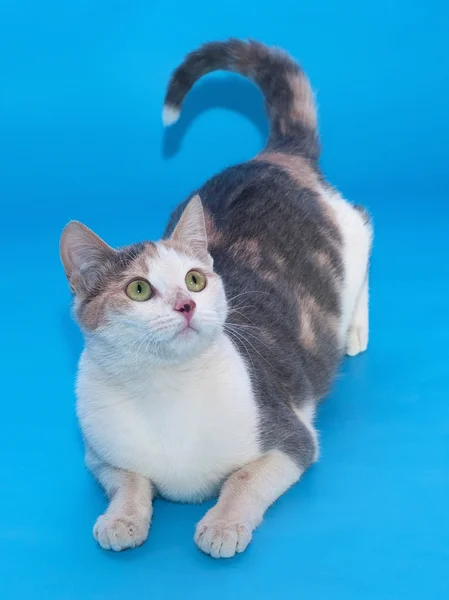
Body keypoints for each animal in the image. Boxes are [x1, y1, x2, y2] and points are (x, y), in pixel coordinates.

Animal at [61, 39, 372, 560]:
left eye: (194, 280)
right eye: (139, 289)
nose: (186, 306)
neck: (166, 394)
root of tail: (273, 156)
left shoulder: (292, 439)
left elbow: (242, 479)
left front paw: (223, 525)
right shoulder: (99, 455)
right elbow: (130, 481)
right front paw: (121, 519)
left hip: (351, 236)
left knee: (366, 228)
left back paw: (355, 331)